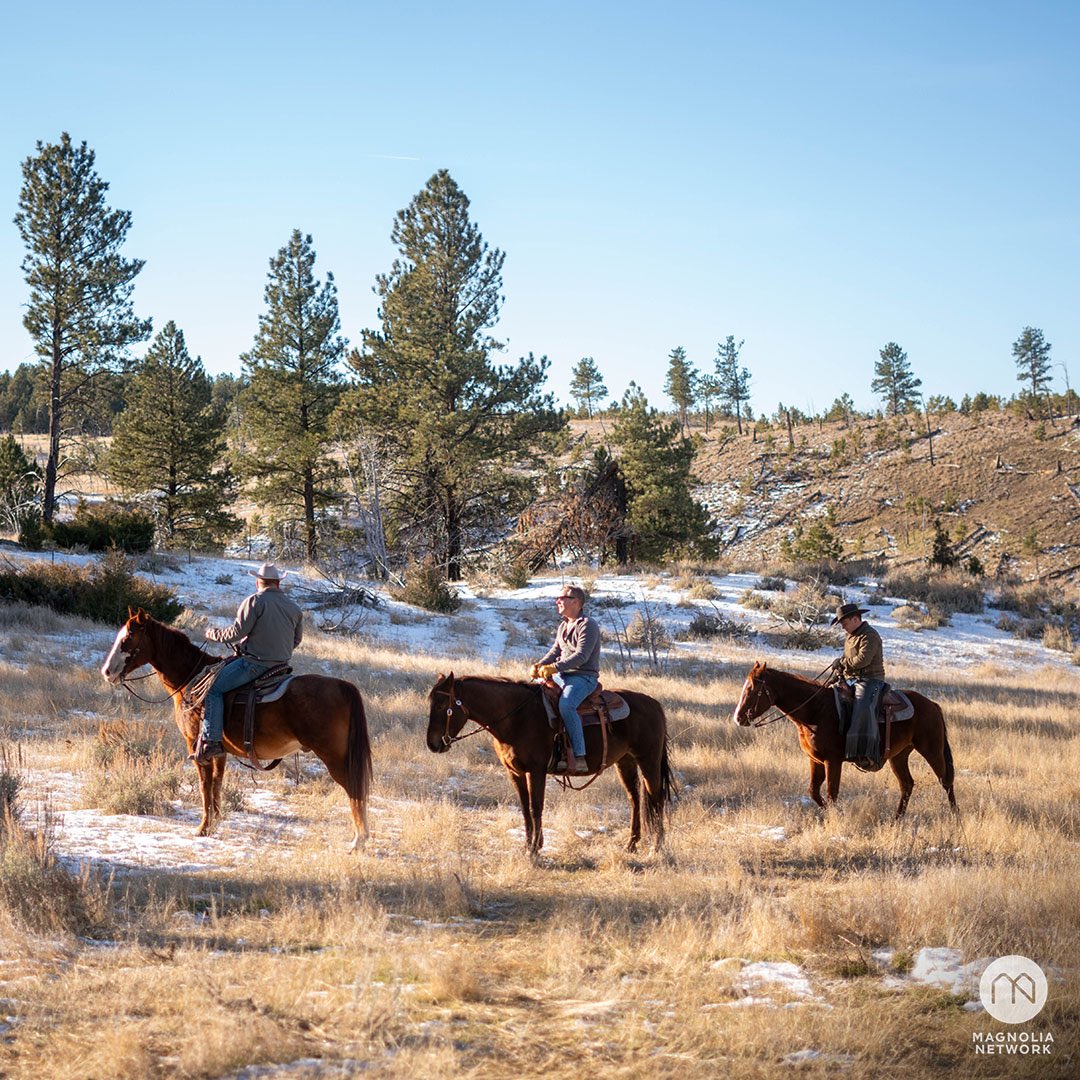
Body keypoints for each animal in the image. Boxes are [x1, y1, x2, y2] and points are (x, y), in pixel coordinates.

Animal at [102, 613, 371, 846]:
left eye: (127, 639)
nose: (107, 672)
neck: (190, 679)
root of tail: (342, 686)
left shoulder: (196, 746)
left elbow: (204, 785)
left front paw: (203, 828)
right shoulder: (219, 751)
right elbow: (217, 784)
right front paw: (215, 823)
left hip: (334, 757)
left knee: (354, 789)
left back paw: (359, 840)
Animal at [423, 669, 669, 855]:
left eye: (440, 706)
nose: (432, 744)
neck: (517, 718)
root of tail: (654, 704)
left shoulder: (536, 770)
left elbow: (536, 807)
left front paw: (534, 849)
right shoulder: (515, 772)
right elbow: (524, 808)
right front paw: (527, 845)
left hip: (648, 760)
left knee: (656, 798)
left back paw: (656, 846)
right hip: (625, 762)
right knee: (635, 799)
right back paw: (631, 843)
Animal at [734, 656, 954, 816]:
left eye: (751, 688)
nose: (738, 718)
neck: (816, 710)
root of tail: (932, 705)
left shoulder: (833, 761)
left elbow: (832, 793)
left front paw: (836, 816)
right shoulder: (815, 760)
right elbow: (814, 792)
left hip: (931, 750)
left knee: (945, 780)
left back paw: (955, 816)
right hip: (899, 756)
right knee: (907, 785)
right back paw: (897, 820)